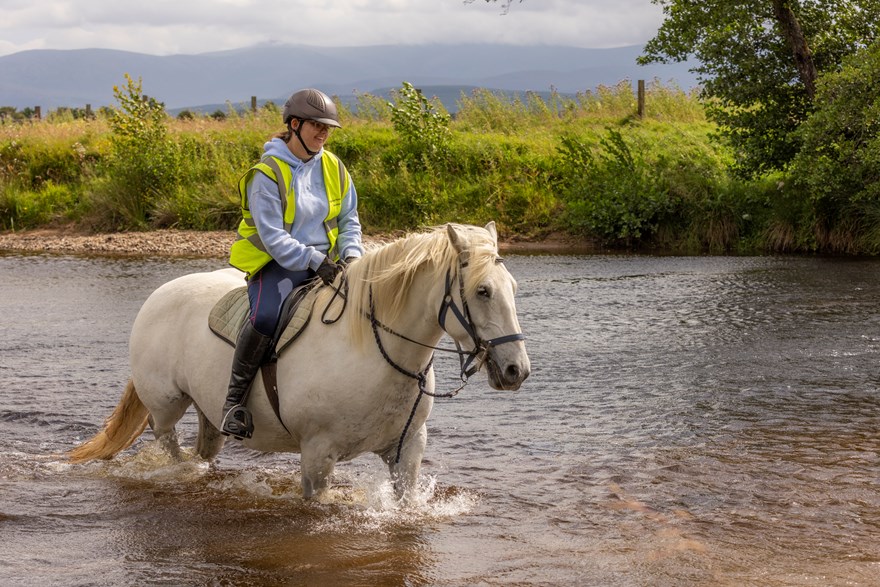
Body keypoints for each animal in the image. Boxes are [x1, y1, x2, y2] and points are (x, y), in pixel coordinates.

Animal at [68, 222, 530, 500]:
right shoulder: (317, 455)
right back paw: (181, 471)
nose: (516, 371)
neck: (372, 353)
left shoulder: (408, 449)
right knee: (166, 440)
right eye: (483, 291)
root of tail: (158, 295)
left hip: (206, 410)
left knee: (205, 445)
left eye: (512, 286)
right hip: (167, 404)